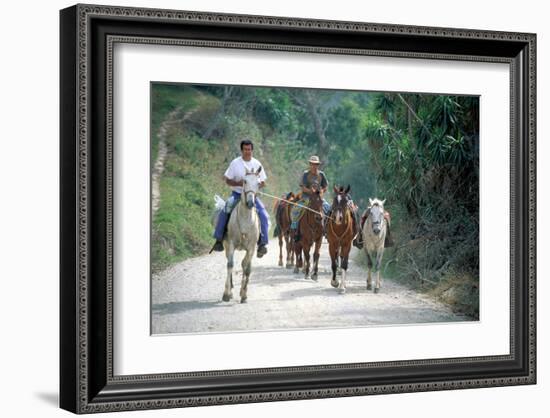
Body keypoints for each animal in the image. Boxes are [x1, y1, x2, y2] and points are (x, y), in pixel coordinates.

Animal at [221, 167, 262, 304]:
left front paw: (244, 295)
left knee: (245, 265)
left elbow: (247, 268)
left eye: (259, 183)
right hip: (226, 245)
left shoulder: (251, 248)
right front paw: (226, 294)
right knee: (230, 261)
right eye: (244, 181)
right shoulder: (231, 244)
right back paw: (231, 289)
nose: (250, 203)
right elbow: (230, 265)